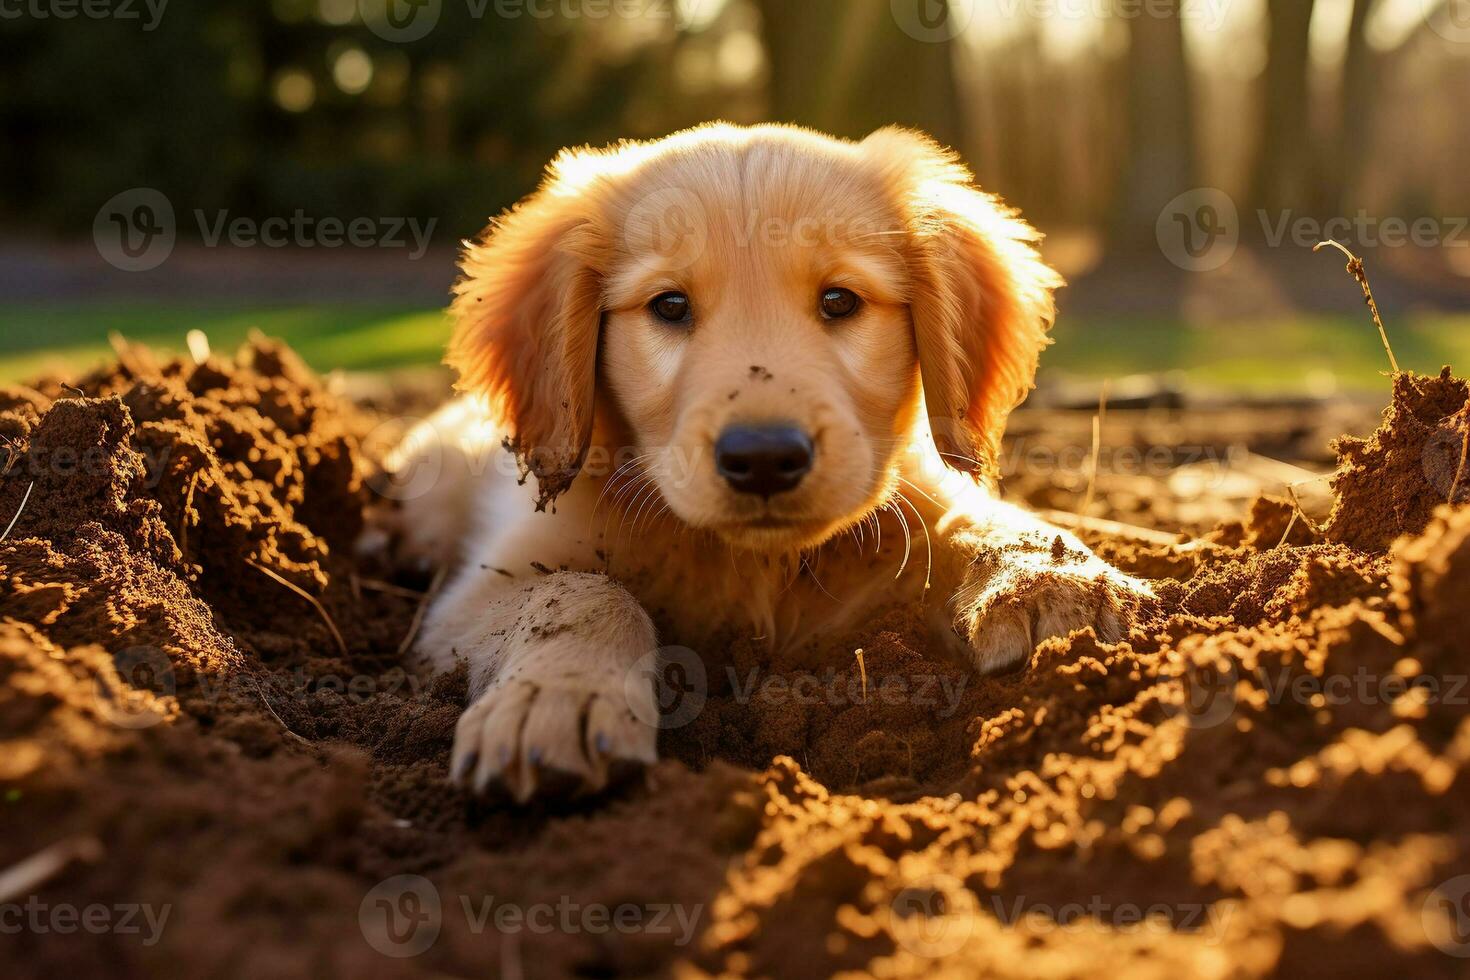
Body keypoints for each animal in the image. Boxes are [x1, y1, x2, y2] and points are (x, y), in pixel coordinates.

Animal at [382, 120, 1158, 805]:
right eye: (669, 306)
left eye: (840, 300)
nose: (763, 458)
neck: (751, 564)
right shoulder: (472, 597)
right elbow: (580, 591)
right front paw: (553, 700)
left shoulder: (908, 506)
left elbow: (973, 519)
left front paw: (1051, 575)